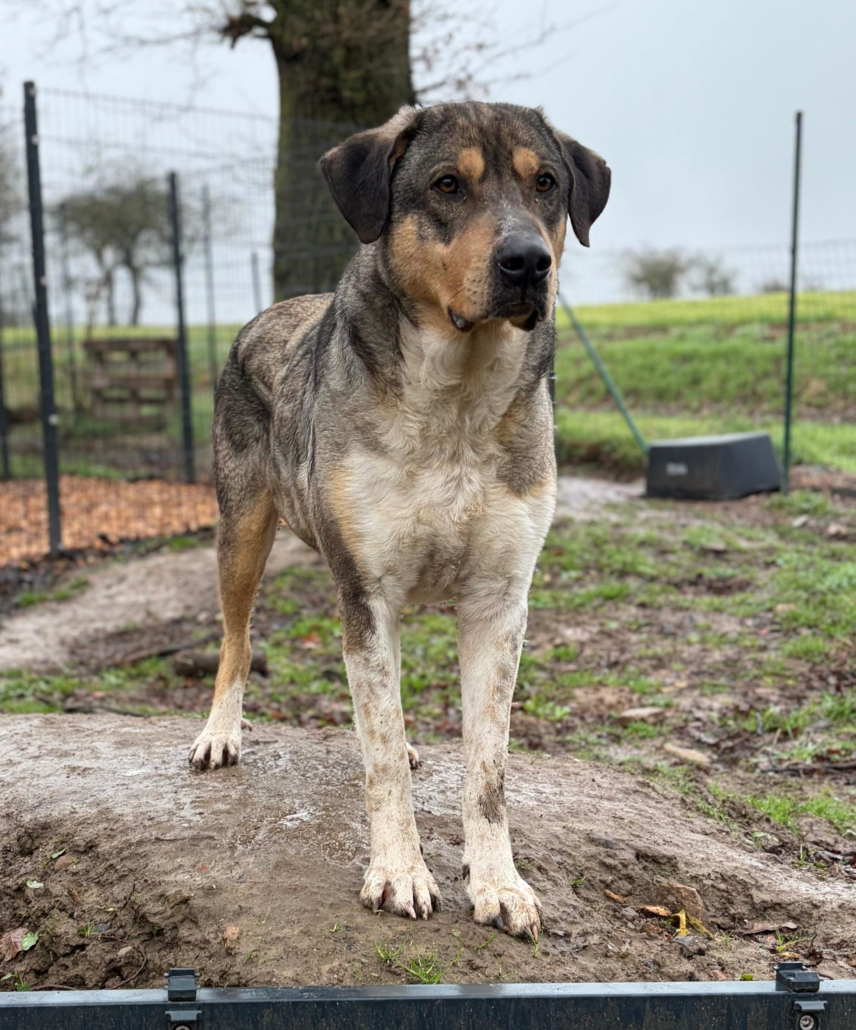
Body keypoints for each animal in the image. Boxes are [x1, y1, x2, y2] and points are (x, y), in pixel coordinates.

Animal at [189, 101, 610, 939]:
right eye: (447, 184)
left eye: (547, 183)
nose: (527, 264)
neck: (454, 403)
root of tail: (264, 315)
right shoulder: (367, 591)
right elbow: (378, 753)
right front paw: (398, 873)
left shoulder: (499, 603)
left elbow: (488, 767)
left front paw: (499, 884)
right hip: (242, 530)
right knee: (236, 637)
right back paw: (219, 733)